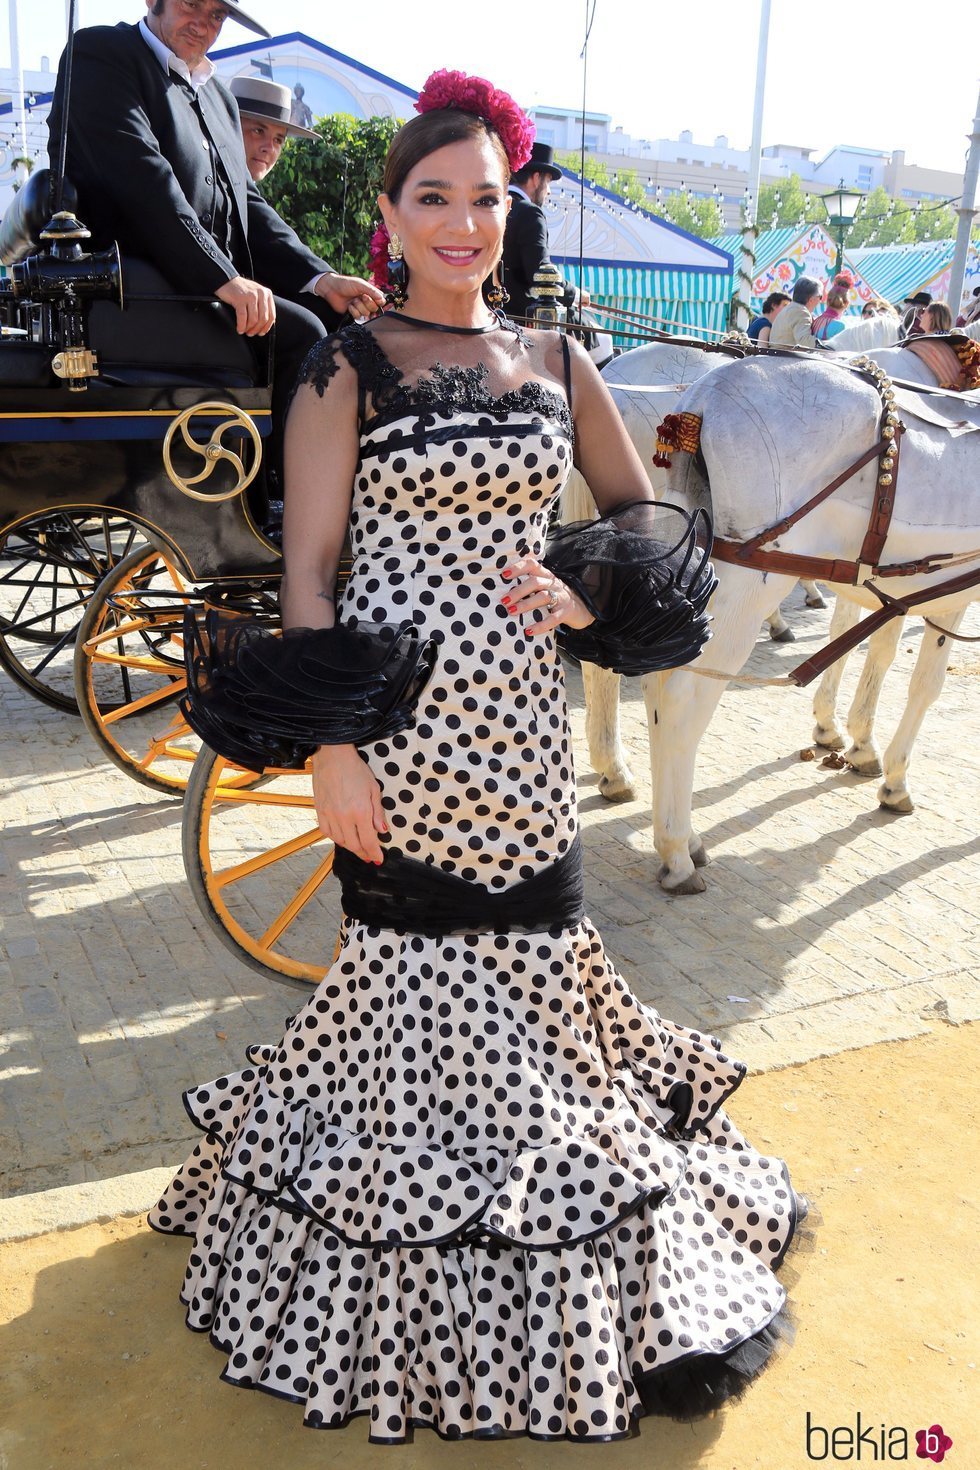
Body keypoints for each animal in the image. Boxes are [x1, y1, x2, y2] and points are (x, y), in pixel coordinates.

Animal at [646, 349, 980, 887]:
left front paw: (861, 745)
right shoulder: (948, 595)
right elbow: (925, 685)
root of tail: (703, 398)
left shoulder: (896, 592)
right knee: (681, 697)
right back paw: (676, 849)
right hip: (748, 583)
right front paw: (895, 779)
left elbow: (879, 654)